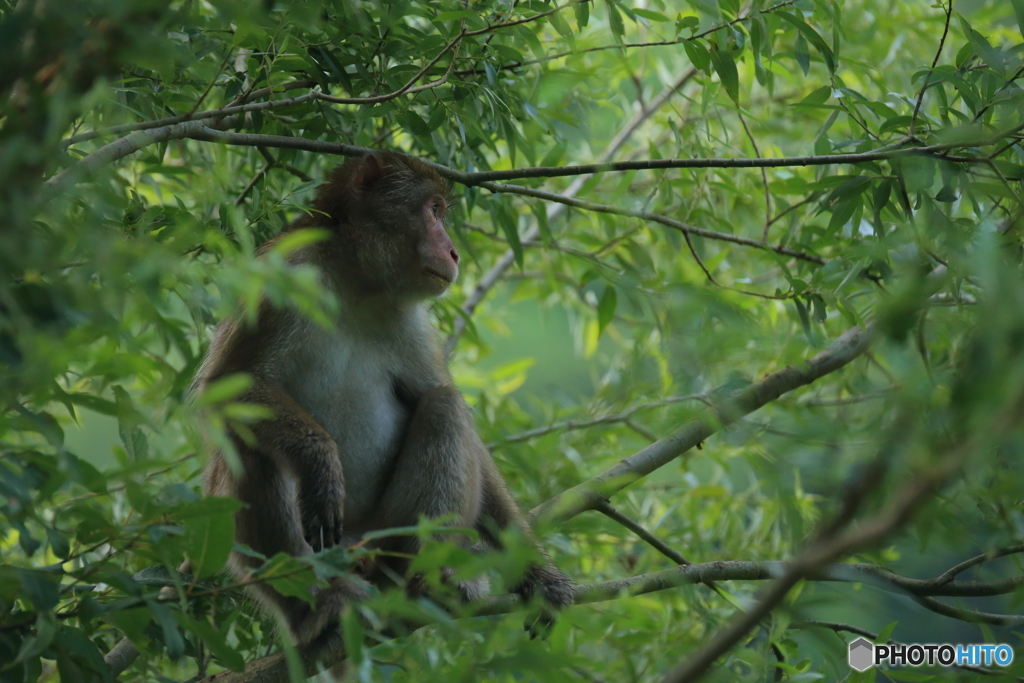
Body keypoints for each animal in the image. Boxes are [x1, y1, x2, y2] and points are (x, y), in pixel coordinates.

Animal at [193, 153, 577, 651]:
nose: (453, 252)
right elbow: (231, 389)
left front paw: (536, 574)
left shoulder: (411, 322)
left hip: (386, 528)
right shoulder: (285, 272)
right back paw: (317, 605)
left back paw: (423, 580)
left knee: (444, 406)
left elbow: (444, 409)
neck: (355, 281)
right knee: (251, 442)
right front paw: (319, 460)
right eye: (433, 210)